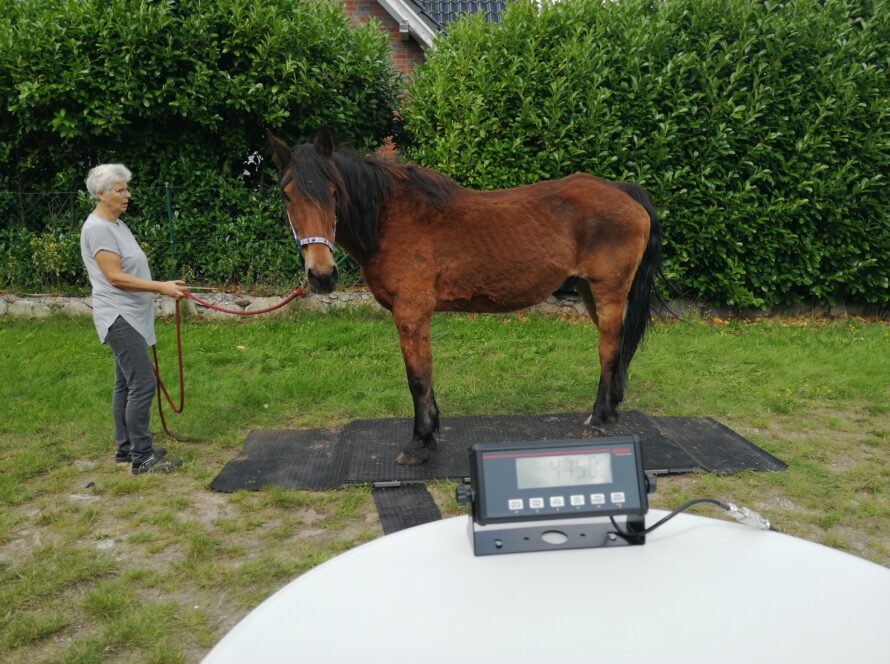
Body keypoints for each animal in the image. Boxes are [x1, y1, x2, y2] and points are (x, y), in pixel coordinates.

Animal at [268, 129, 661, 465]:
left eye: (333, 193)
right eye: (287, 194)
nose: (321, 274)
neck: (390, 217)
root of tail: (623, 191)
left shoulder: (411, 311)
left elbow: (418, 377)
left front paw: (420, 442)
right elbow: (424, 375)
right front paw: (431, 433)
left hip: (607, 291)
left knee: (608, 350)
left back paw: (597, 420)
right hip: (589, 291)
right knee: (617, 348)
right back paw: (610, 411)